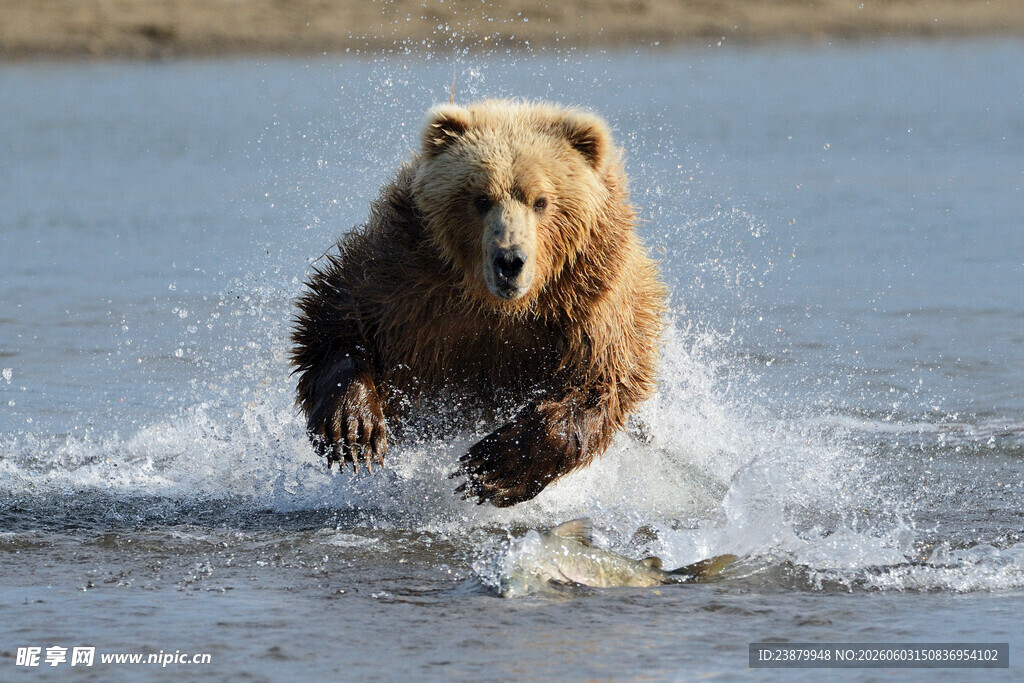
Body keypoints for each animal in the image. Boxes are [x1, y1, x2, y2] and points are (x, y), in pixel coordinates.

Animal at [291, 99, 665, 507]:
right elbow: (339, 317)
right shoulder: (407, 276)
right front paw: (354, 428)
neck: (497, 305)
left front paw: (492, 468)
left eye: (541, 201)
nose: (510, 261)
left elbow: (599, 382)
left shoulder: (589, 302)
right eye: (481, 199)